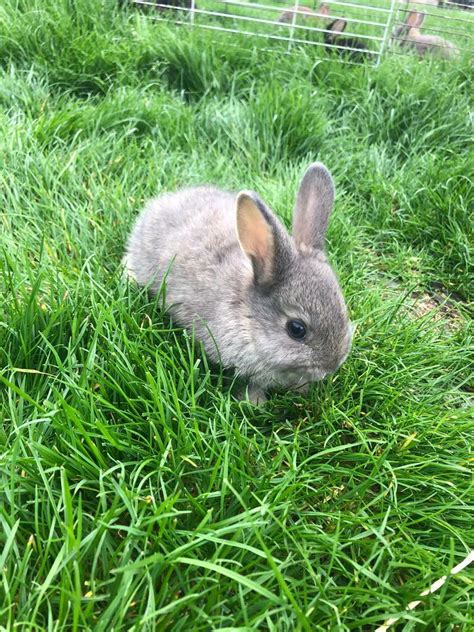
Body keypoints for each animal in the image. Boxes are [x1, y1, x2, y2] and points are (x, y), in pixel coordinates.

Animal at [122, 160, 352, 402]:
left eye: (344, 311)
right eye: (297, 329)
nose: (331, 365)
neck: (247, 315)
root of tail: (163, 202)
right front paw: (255, 403)